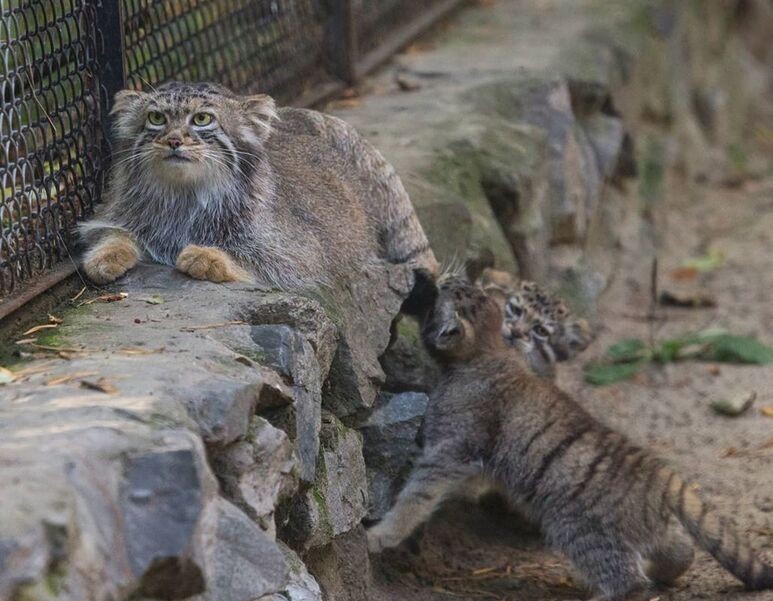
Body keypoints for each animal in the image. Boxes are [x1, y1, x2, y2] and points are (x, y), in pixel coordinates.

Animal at [84, 82, 438, 288]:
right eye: (156, 118)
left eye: (202, 119)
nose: (172, 141)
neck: (185, 194)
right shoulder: (116, 213)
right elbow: (113, 232)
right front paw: (105, 255)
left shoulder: (304, 255)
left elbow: (254, 256)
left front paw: (208, 257)